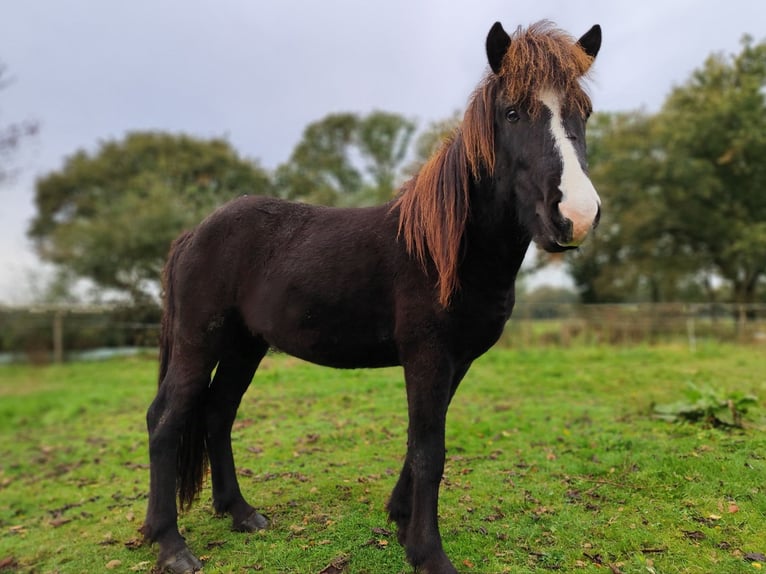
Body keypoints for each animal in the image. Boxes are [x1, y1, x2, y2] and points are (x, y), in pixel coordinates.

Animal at [141, 20, 604, 572]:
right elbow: (429, 451)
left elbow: (420, 443)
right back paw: (171, 544)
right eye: (513, 111)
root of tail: (195, 233)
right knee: (166, 421)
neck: (446, 249)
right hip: (199, 342)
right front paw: (428, 552)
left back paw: (240, 513)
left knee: (217, 413)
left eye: (584, 111)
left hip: (244, 347)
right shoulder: (427, 357)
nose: (575, 215)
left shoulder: (456, 361)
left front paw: (401, 521)